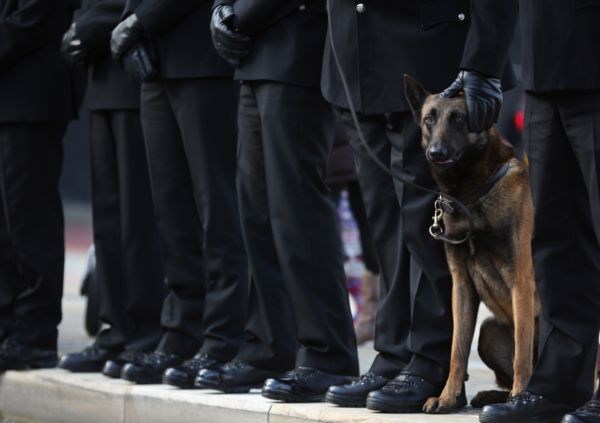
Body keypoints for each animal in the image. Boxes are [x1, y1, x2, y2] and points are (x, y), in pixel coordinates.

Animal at [404, 75, 544, 414]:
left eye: (459, 119)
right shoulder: (462, 285)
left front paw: (521, 399)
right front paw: (447, 397)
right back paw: (492, 397)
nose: (436, 153)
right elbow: (457, 351)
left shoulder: (521, 282)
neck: (471, 194)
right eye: (429, 119)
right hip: (489, 331)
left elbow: (522, 356)